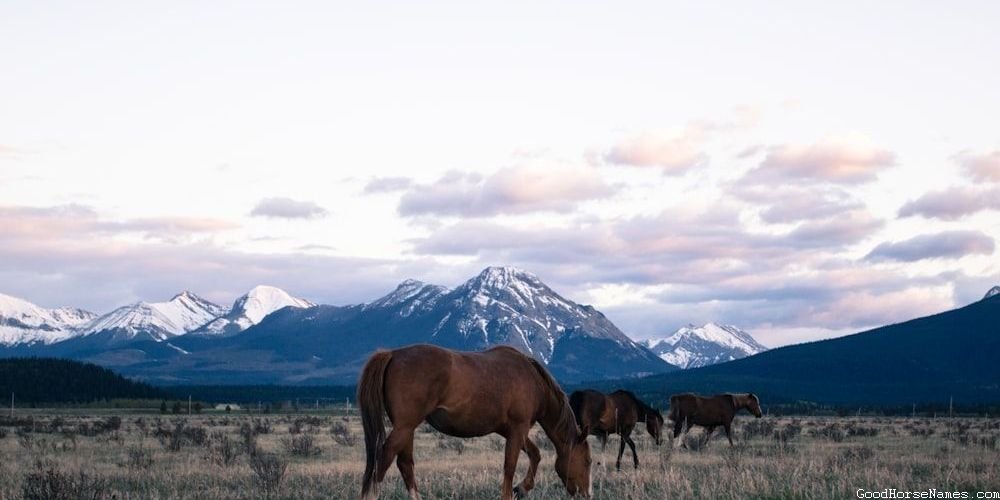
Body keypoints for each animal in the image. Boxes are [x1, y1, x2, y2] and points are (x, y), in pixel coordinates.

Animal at [360, 344, 592, 500]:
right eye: (588, 461)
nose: (586, 494)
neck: (535, 382)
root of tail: (392, 354)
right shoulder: (518, 428)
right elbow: (510, 467)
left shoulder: (512, 431)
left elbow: (535, 454)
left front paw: (522, 488)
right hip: (405, 426)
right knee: (384, 459)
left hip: (406, 428)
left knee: (405, 464)